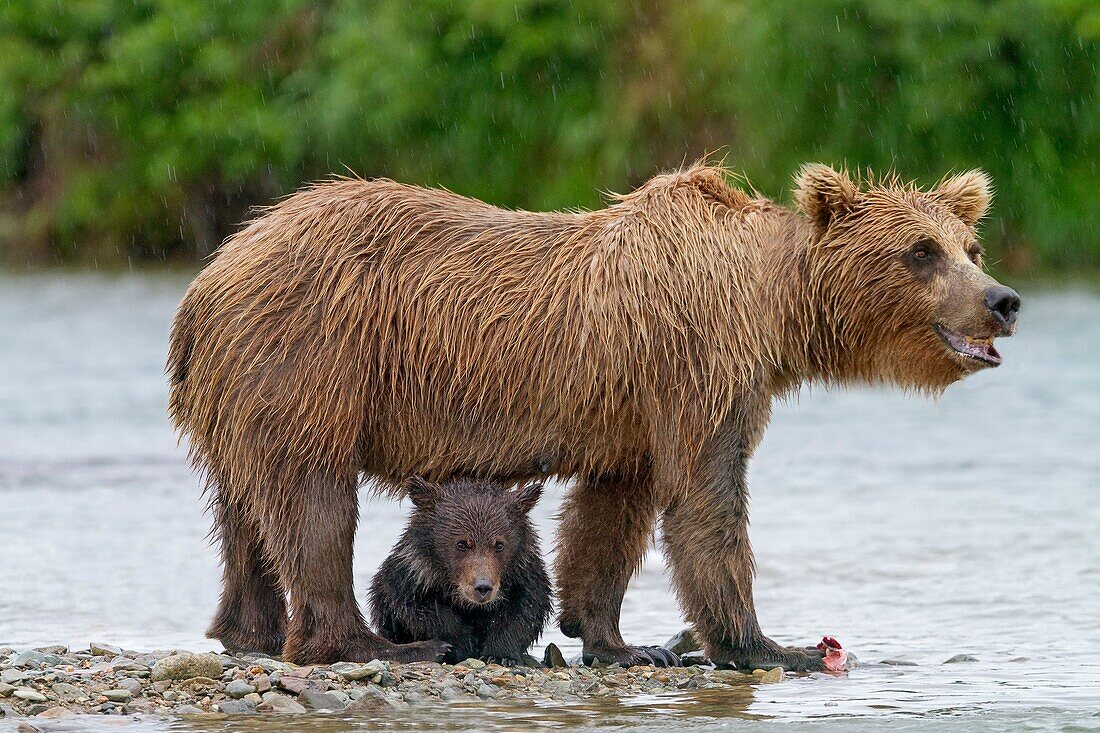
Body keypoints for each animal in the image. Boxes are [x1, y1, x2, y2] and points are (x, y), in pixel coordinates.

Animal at [167, 163, 1016, 669]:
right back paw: (371, 642)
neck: (772, 308)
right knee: (312, 501)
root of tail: (210, 276)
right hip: (313, 356)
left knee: (244, 508)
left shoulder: (633, 408)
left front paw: (618, 639)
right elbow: (709, 499)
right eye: (921, 250)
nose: (1003, 299)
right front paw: (773, 644)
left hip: (238, 393)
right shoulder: (701, 366)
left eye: (968, 244)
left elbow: (613, 513)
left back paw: (247, 628)